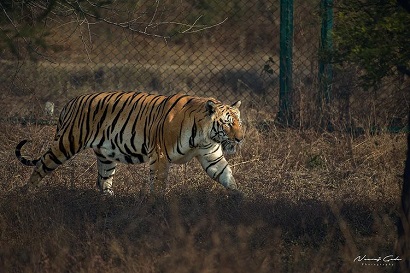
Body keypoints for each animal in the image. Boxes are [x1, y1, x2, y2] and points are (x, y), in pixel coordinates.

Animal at [16, 91, 245, 193]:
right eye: (227, 123)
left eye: (240, 122)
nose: (240, 138)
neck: (205, 136)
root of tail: (70, 102)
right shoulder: (160, 155)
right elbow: (158, 185)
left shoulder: (211, 156)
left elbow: (227, 176)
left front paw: (241, 201)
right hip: (67, 142)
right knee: (41, 165)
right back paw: (27, 194)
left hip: (106, 157)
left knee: (103, 181)